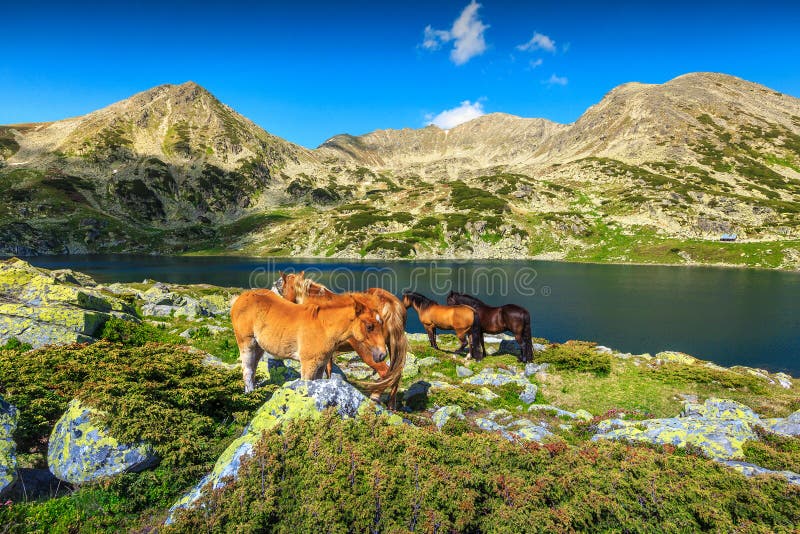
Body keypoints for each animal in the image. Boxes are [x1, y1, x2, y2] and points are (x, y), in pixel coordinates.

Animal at [230, 288, 390, 394]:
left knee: (253, 369)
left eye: (382, 323)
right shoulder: (308, 364)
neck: (324, 328)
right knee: (247, 370)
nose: (382, 355)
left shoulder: (321, 364)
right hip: (246, 343)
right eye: (369, 326)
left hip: (259, 347)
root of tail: (240, 298)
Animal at [278, 274, 410, 408]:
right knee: (395, 374)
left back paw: (376, 396)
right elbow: (328, 369)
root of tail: (390, 303)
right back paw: (391, 405)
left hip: (370, 353)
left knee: (385, 372)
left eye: (283, 288)